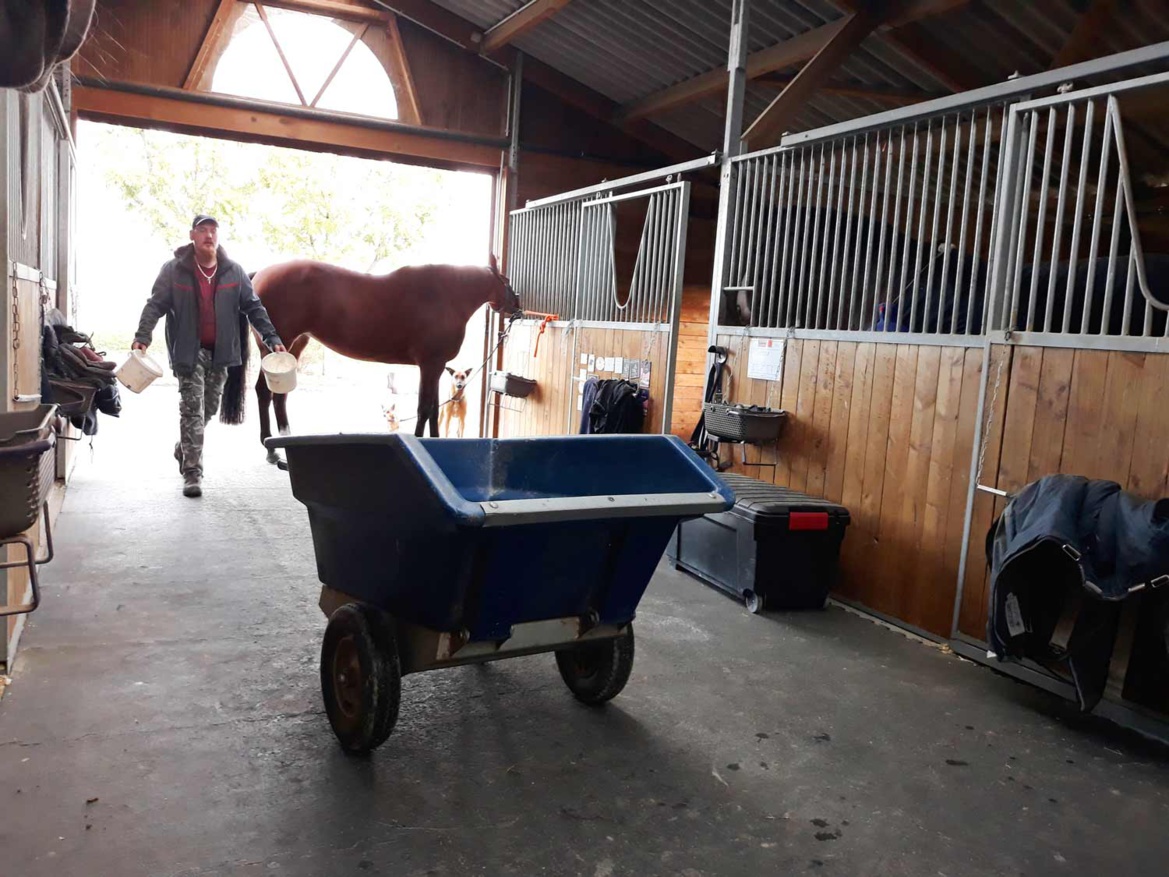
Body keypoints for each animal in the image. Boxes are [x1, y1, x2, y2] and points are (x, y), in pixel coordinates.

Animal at [222, 253, 521, 460]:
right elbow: (424, 409)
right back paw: (270, 446)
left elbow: (434, 411)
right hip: (274, 348)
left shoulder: (435, 367)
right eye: (506, 281)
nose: (517, 306)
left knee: (279, 396)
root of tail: (259, 275)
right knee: (264, 392)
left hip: (293, 347)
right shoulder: (430, 365)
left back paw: (285, 437)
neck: (446, 296)